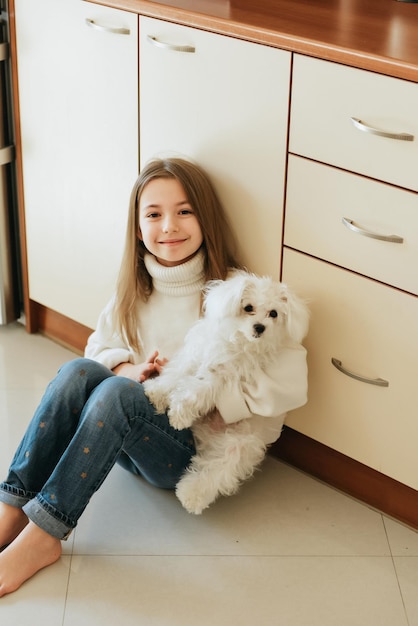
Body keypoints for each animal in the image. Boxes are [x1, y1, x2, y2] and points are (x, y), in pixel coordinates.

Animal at [142, 270, 308, 516]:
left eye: (274, 313)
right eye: (248, 307)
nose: (260, 327)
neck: (238, 341)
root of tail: (205, 441)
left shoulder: (222, 378)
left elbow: (194, 392)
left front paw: (179, 416)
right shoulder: (195, 355)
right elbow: (176, 374)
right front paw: (157, 392)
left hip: (237, 446)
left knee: (216, 472)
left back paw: (191, 496)